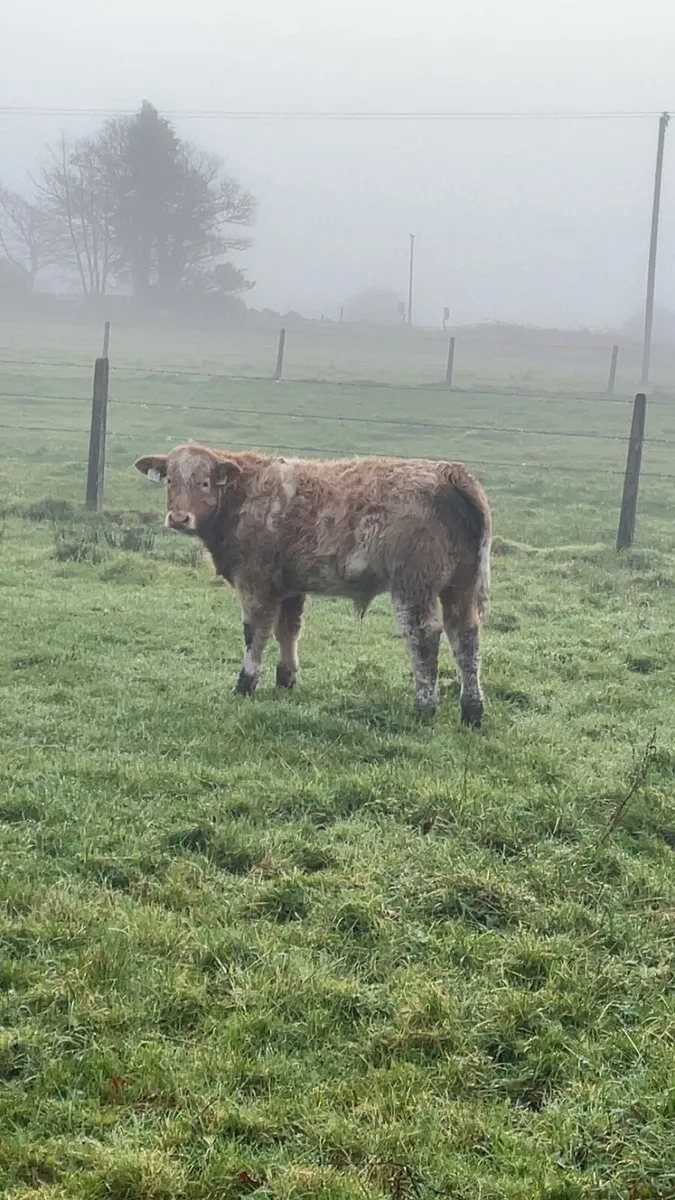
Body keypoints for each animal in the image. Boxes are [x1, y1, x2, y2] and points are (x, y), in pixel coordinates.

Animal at [134, 444, 491, 724]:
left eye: (205, 482)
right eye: (170, 479)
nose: (179, 518)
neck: (247, 495)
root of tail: (448, 472)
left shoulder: (254, 583)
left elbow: (255, 634)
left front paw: (245, 684)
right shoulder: (290, 587)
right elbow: (288, 631)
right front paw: (286, 680)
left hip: (414, 586)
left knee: (424, 639)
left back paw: (424, 708)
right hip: (461, 586)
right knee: (466, 639)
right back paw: (472, 711)